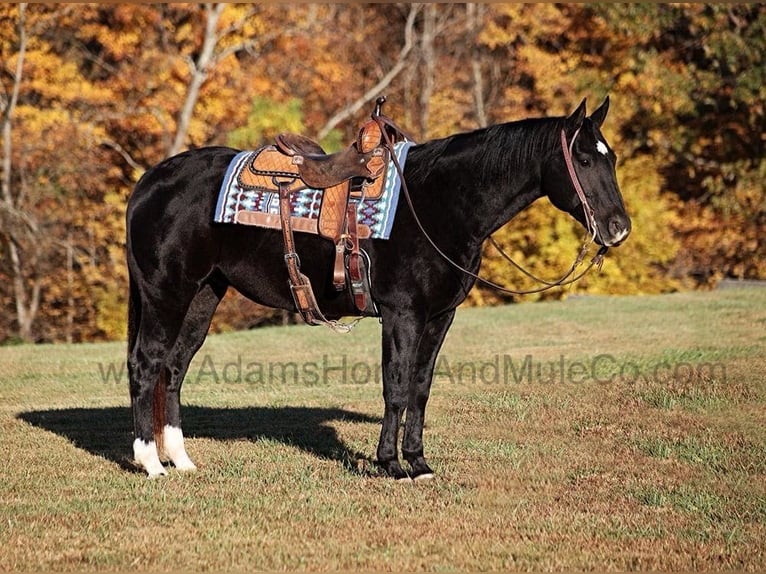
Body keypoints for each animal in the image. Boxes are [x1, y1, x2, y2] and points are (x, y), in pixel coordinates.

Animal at [126, 98, 632, 482]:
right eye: (584, 159)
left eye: (612, 158)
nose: (618, 228)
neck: (438, 203)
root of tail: (151, 180)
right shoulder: (402, 313)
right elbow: (397, 386)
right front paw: (391, 464)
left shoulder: (439, 316)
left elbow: (421, 388)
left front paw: (419, 462)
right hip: (165, 293)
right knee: (146, 364)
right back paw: (152, 463)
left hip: (203, 295)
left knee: (174, 368)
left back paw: (182, 460)